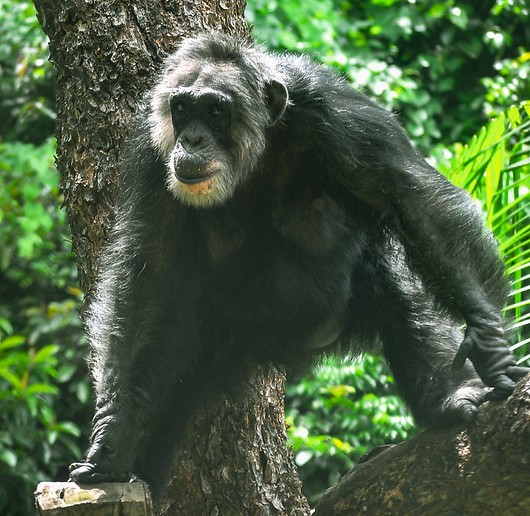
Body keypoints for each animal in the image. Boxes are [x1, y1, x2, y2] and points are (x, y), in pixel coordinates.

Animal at [69, 32, 524, 500]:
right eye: (182, 109)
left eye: (215, 111)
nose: (192, 139)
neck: (260, 147)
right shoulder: (149, 145)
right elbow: (149, 267)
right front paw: (115, 434)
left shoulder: (344, 115)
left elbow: (413, 199)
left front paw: (489, 339)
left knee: (400, 279)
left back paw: (449, 395)